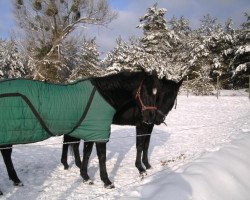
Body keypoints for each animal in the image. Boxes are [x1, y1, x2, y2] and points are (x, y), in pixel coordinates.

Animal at [0, 70, 160, 194]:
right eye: (145, 91)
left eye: (157, 93)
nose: (150, 118)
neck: (105, 96)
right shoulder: (98, 132)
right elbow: (101, 157)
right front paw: (107, 182)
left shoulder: (91, 131)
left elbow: (87, 154)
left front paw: (85, 177)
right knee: (7, 155)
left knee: (6, 155)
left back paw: (16, 180)